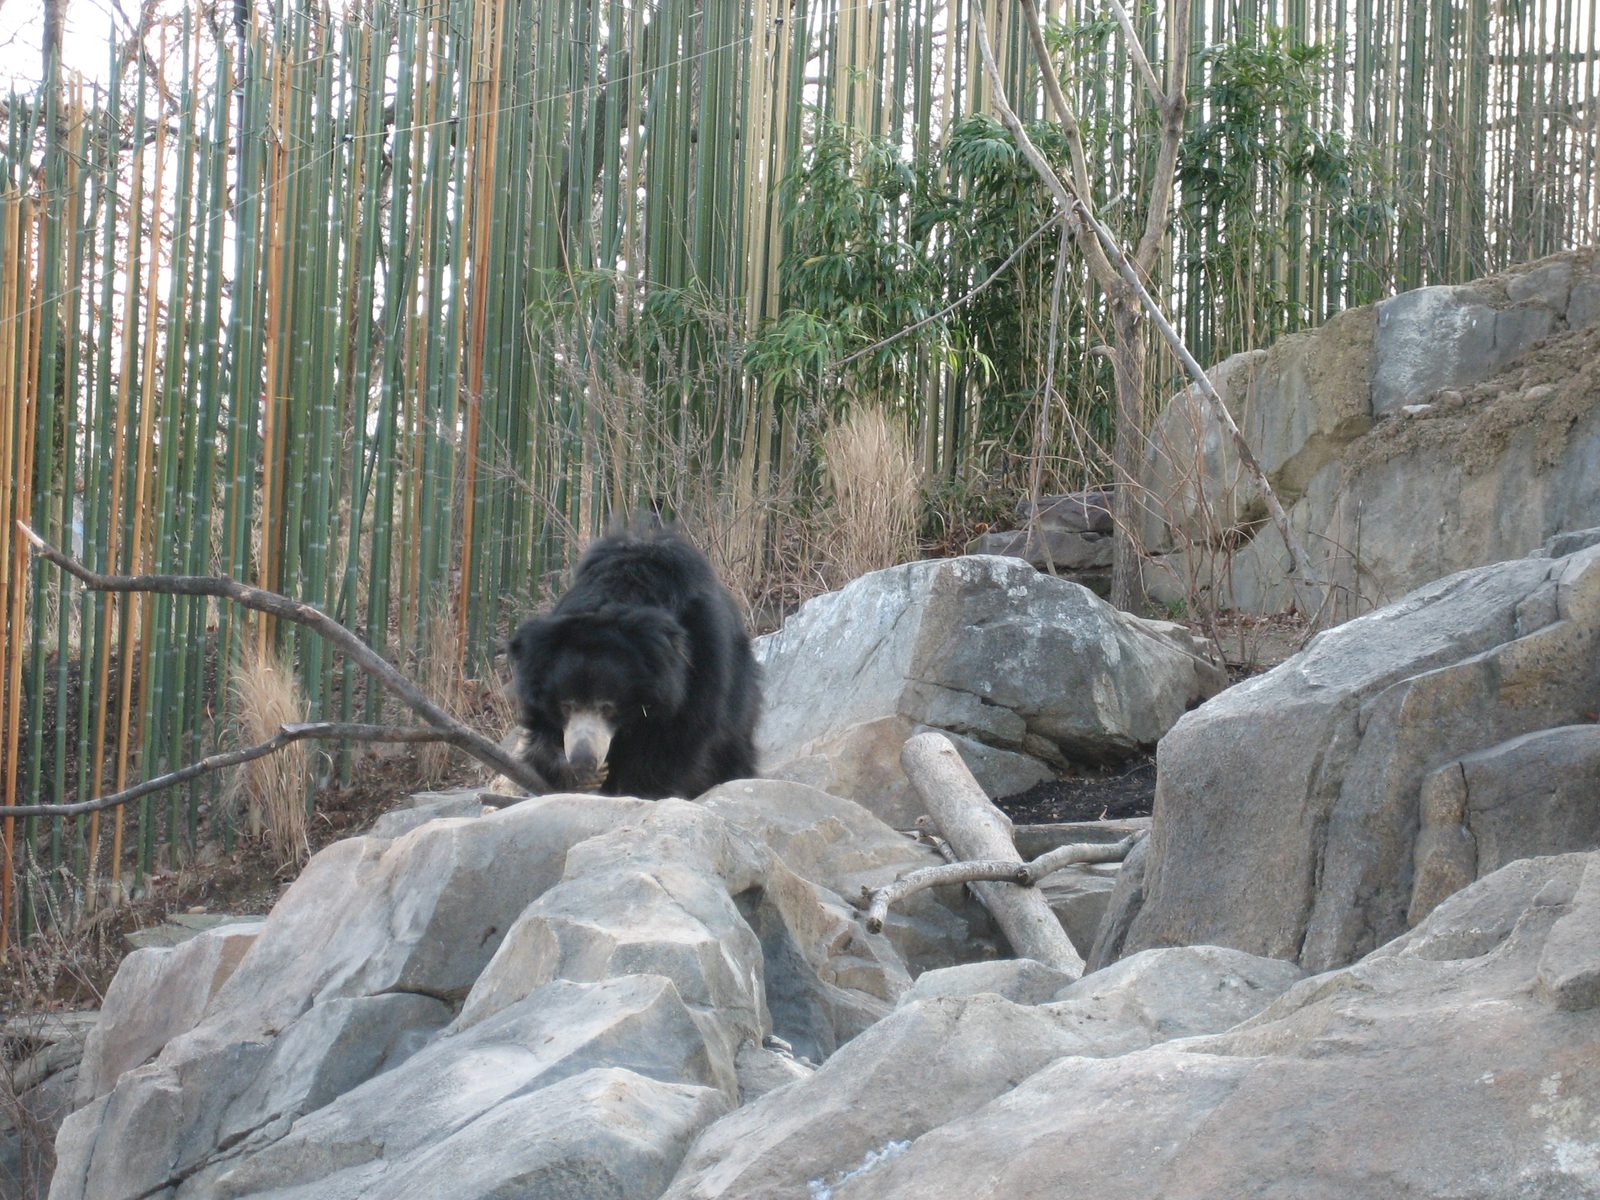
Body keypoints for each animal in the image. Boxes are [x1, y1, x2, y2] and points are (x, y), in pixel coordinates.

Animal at [507, 525, 761, 800]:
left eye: (607, 707)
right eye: (566, 706)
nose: (583, 761)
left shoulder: (699, 664)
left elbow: (677, 739)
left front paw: (643, 789)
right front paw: (570, 773)